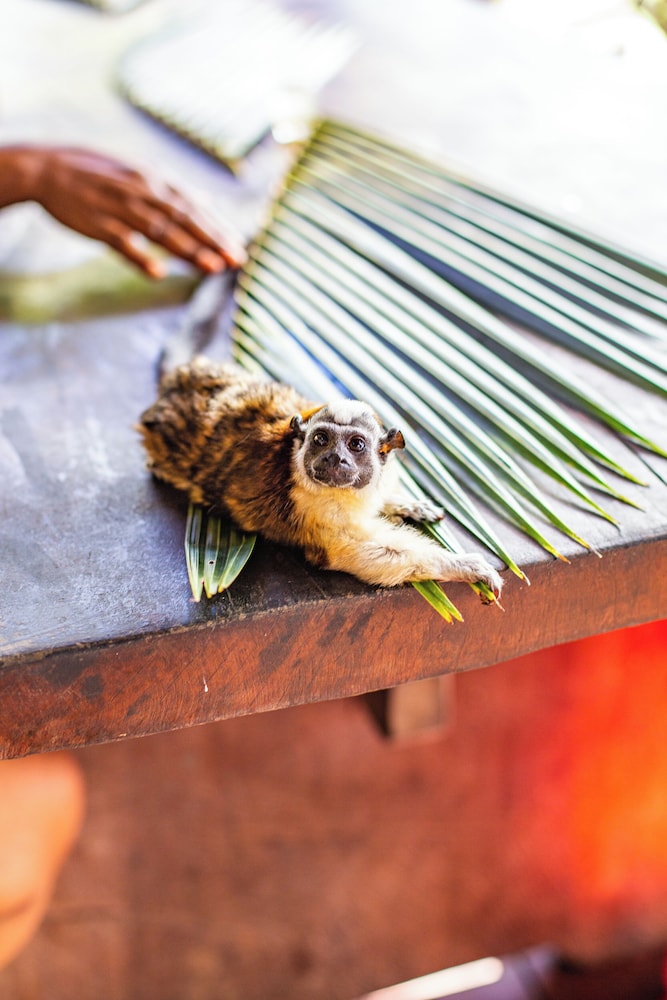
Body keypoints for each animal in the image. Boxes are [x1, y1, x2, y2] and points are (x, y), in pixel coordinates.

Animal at [138, 357, 503, 595]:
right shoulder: (315, 508)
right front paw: (463, 566)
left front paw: (405, 504)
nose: (334, 458)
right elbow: (358, 553)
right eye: (321, 440)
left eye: (356, 445)